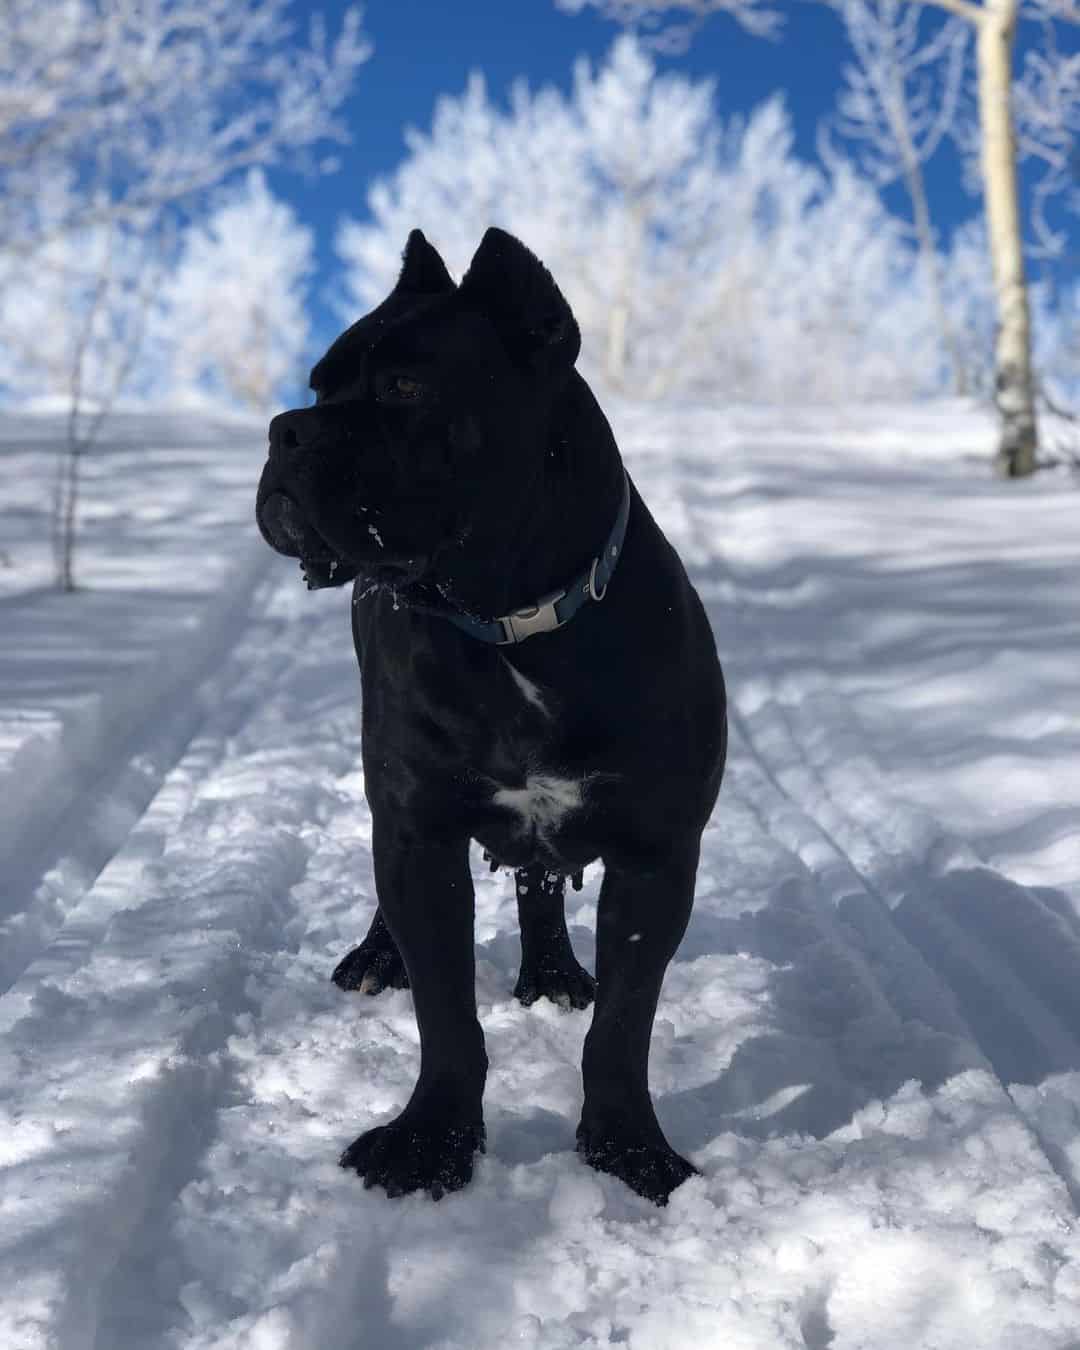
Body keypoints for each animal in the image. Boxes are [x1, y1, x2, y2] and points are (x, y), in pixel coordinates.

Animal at [253, 229, 723, 1204]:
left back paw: (552, 970)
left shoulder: (657, 854)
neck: (513, 625)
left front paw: (629, 1150)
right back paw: (377, 958)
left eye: (403, 387)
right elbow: (447, 1014)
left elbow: (624, 1024)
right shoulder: (418, 832)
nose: (284, 429)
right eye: (318, 388)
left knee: (540, 882)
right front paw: (430, 1141)